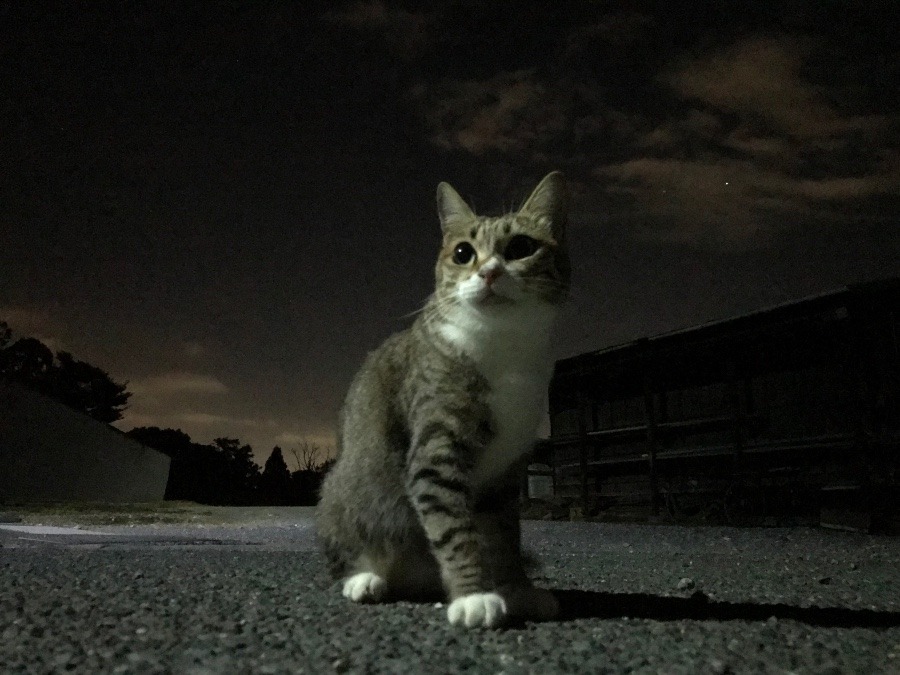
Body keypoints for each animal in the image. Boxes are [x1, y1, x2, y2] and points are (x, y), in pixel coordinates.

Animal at [316, 172, 568, 632]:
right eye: (463, 253)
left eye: (521, 247)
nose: (489, 272)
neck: (503, 344)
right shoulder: (436, 453)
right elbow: (455, 530)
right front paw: (473, 595)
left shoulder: (508, 472)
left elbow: (505, 537)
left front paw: (516, 589)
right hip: (345, 490)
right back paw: (364, 578)